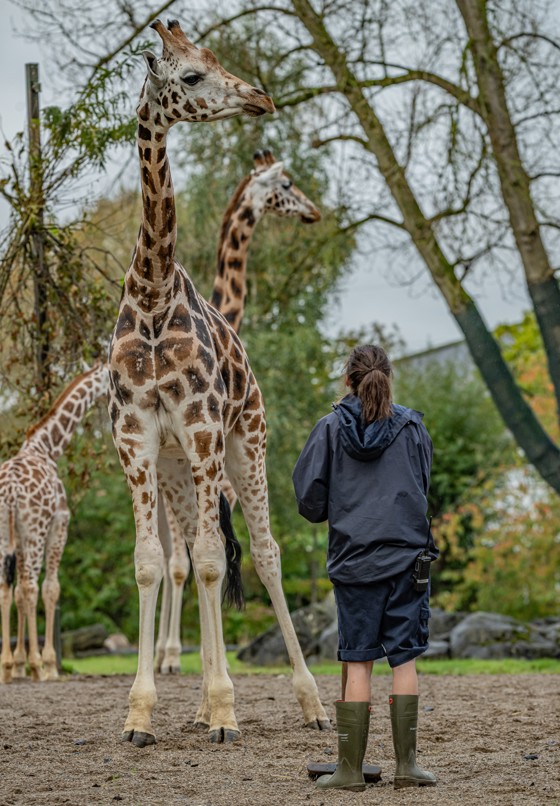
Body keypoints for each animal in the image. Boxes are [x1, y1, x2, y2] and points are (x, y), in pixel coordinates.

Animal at [0, 361, 109, 683]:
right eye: (109, 379)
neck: (46, 448)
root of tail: (11, 491)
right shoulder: (59, 526)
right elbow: (50, 588)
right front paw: (47, 664)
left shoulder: (19, 538)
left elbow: (18, 595)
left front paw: (17, 664)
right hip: (36, 531)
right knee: (30, 586)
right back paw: (39, 665)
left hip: (6, 532)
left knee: (7, 587)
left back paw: (7, 666)